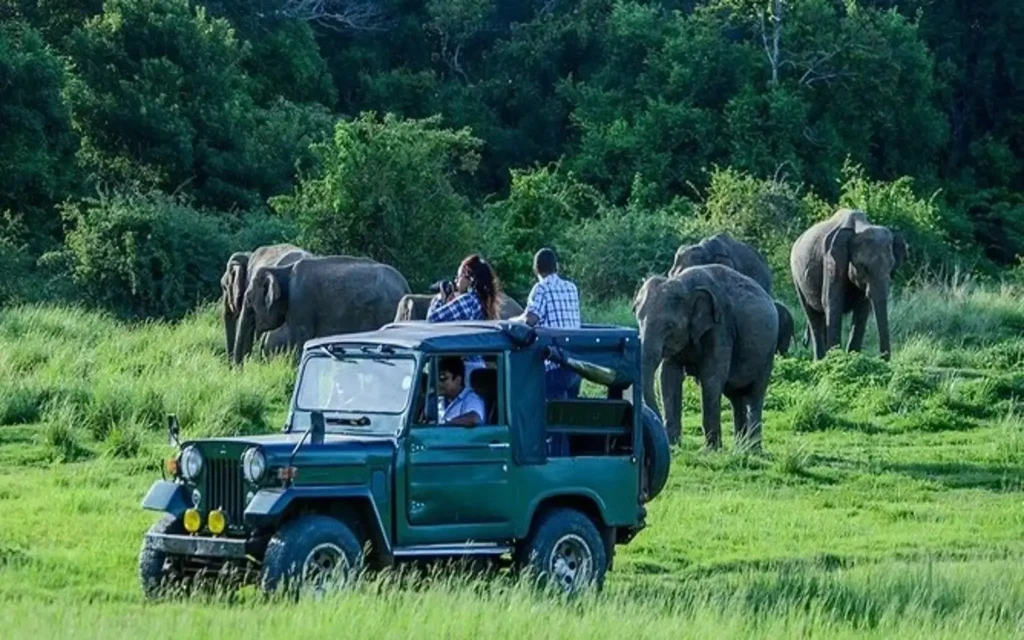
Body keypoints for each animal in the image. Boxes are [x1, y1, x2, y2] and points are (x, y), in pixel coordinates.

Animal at [233, 256, 411, 366]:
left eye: (249, 300)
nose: (240, 370)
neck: (281, 270)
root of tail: (404, 285)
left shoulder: (301, 303)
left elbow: (299, 342)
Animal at [634, 265, 777, 450]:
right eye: (638, 319)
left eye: (669, 325)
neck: (684, 284)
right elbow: (668, 377)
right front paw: (673, 446)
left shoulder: (720, 327)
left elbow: (711, 377)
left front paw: (710, 450)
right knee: (736, 397)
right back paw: (740, 449)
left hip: (768, 352)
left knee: (755, 394)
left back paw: (753, 450)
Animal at [790, 208, 906, 361]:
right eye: (863, 267)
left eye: (892, 267)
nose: (882, 359)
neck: (860, 227)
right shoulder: (833, 258)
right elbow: (832, 302)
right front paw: (837, 360)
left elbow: (862, 309)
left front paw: (852, 358)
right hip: (796, 277)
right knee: (813, 316)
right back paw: (819, 360)